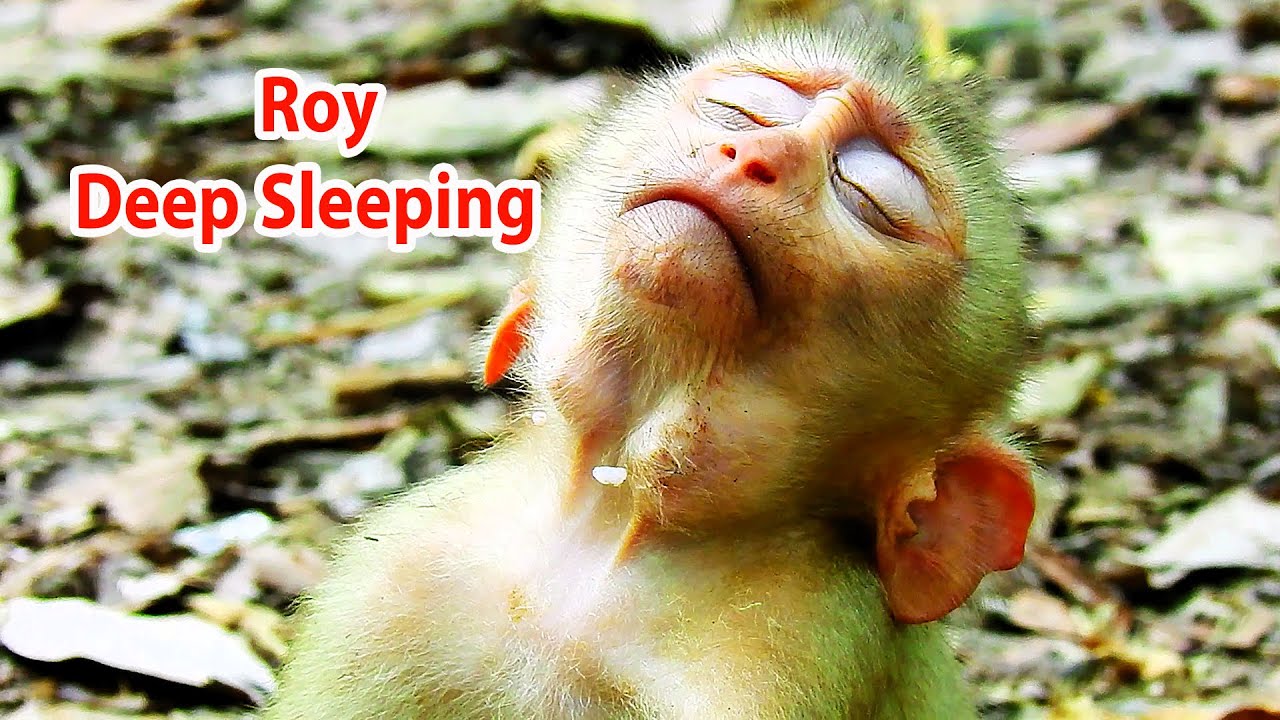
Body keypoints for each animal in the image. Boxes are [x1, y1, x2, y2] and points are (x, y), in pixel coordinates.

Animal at [263, 12, 1034, 720]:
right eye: (742, 108)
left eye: (872, 198)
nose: (758, 153)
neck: (598, 548)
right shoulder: (392, 584)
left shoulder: (784, 657)